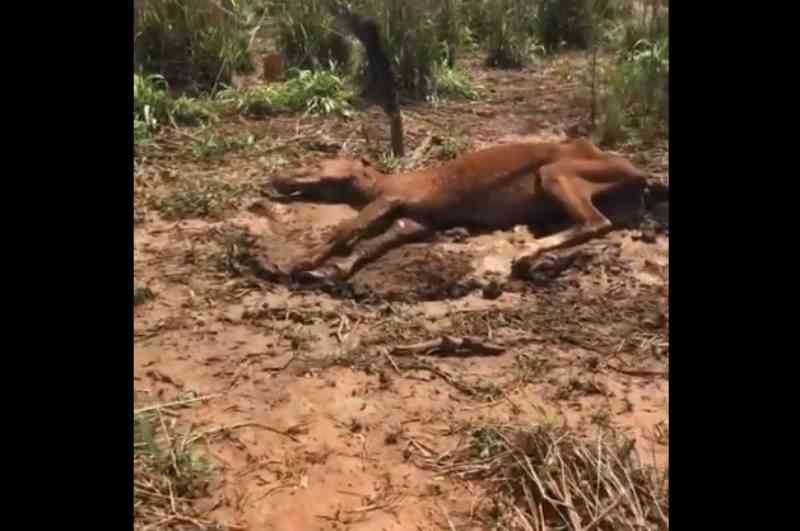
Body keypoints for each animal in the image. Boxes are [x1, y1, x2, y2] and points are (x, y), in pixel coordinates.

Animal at [266, 139, 664, 284]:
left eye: (315, 163)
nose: (274, 177)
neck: (381, 181)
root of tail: (639, 174)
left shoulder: (389, 201)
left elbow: (346, 229)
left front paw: (303, 261)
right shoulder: (414, 221)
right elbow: (371, 245)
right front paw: (341, 267)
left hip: (555, 173)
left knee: (595, 222)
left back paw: (528, 250)